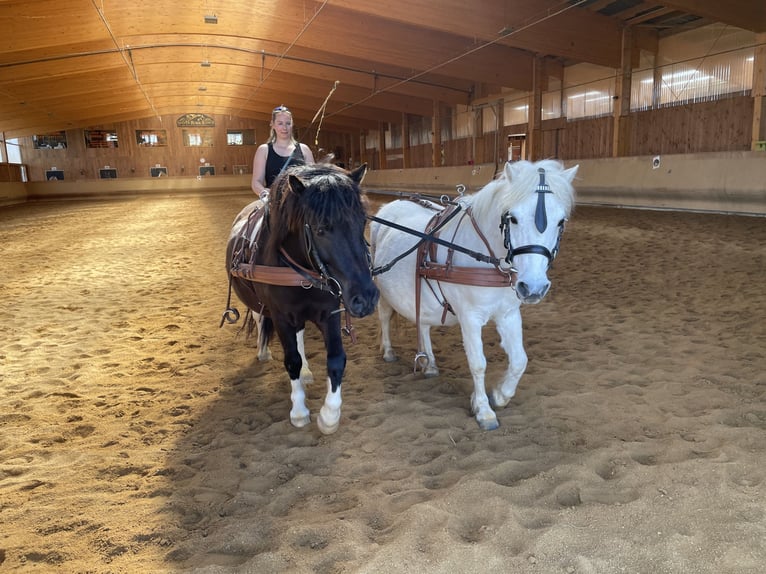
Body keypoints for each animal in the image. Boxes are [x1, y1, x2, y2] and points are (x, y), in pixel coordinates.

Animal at [222, 163, 378, 436]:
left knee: (300, 335)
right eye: (320, 229)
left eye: (361, 223)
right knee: (260, 319)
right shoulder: (281, 316)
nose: (366, 299)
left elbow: (336, 359)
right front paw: (299, 412)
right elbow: (291, 360)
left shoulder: (329, 312)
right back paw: (263, 351)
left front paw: (329, 416)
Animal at [370, 160, 576, 430]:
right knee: (384, 316)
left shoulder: (508, 314)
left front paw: (500, 395)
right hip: (382, 287)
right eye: (513, 218)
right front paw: (484, 411)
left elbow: (520, 360)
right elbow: (478, 364)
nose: (533, 287)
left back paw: (429, 364)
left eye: (561, 221)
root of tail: (389, 206)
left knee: (422, 323)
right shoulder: (469, 317)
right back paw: (388, 352)